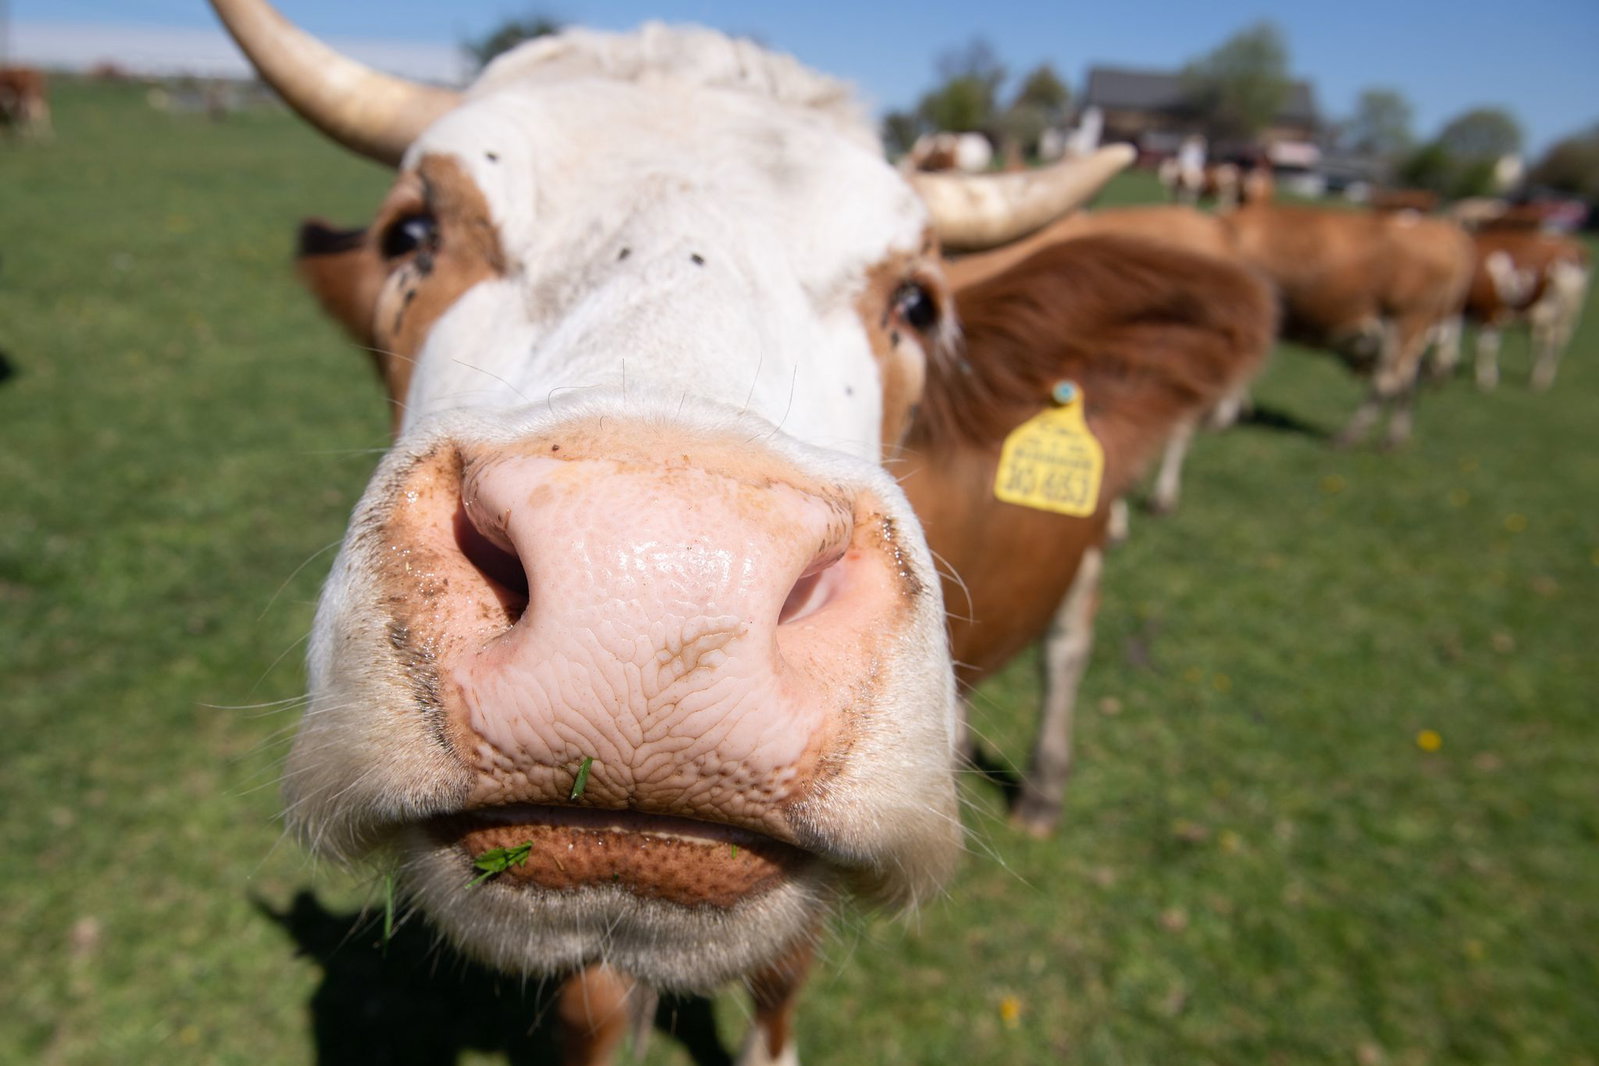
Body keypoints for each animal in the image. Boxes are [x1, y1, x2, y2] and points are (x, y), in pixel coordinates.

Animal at [210, 1, 1133, 1062]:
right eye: (412, 231)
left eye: (917, 300)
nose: (652, 585)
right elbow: (599, 1006)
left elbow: (780, 973)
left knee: (1072, 637)